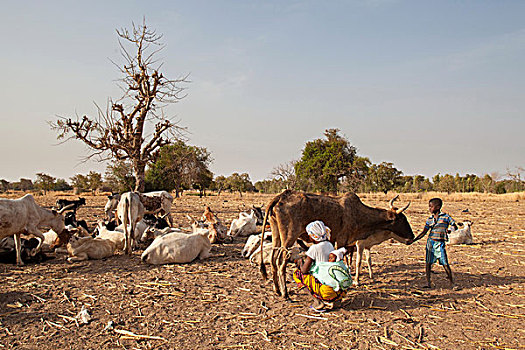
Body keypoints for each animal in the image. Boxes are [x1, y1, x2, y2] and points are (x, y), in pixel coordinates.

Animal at [258, 190, 414, 300]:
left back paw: (277, 290)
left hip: (276, 234)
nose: (411, 237)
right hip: (289, 238)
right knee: (280, 262)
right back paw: (285, 293)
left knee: (272, 259)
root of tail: (281, 196)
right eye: (402, 219)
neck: (359, 213)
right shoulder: (342, 240)